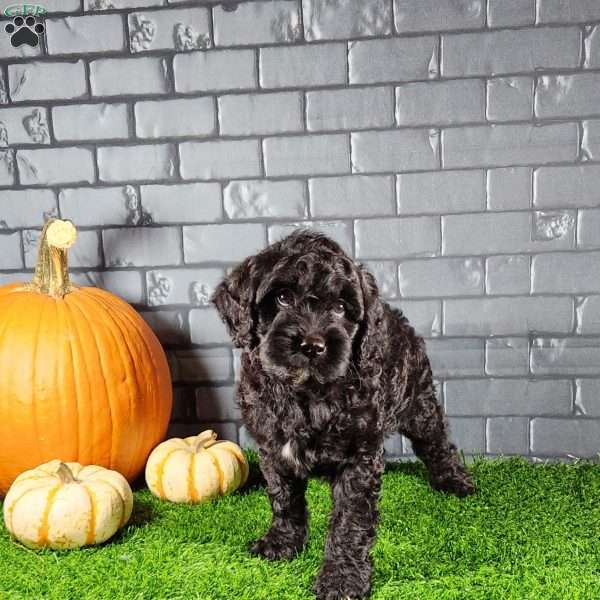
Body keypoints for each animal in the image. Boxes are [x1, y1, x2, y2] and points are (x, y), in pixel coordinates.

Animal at [211, 231, 474, 600]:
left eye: (339, 307)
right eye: (282, 297)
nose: (312, 345)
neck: (306, 394)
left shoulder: (358, 456)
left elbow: (350, 520)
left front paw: (342, 579)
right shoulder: (272, 448)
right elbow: (283, 499)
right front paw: (282, 544)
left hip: (419, 402)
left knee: (437, 441)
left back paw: (454, 481)